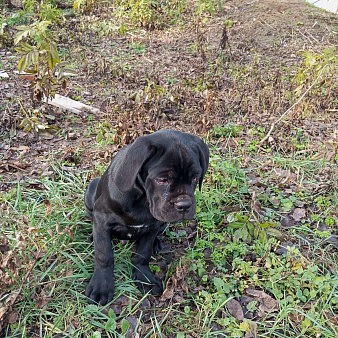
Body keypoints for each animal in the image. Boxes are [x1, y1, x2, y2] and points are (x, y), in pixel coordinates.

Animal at [84, 128, 209, 304]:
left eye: (195, 178)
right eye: (162, 180)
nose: (184, 205)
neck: (142, 199)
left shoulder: (153, 226)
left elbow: (143, 253)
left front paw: (144, 278)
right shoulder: (102, 220)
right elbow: (104, 254)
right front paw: (101, 286)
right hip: (90, 191)